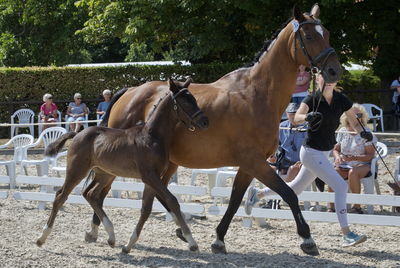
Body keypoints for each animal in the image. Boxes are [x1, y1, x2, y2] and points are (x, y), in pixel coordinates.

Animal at [34, 78, 209, 253]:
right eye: (185, 102)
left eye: (194, 99)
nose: (205, 121)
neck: (152, 137)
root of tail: (78, 134)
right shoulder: (150, 176)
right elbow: (172, 200)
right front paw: (192, 241)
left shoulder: (152, 179)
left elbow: (146, 209)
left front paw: (128, 245)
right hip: (77, 170)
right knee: (61, 196)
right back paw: (42, 237)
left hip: (104, 173)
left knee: (90, 194)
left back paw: (111, 236)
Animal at [94, 4, 344, 255]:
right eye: (309, 36)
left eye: (327, 33)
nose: (334, 71)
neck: (257, 95)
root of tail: (129, 91)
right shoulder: (254, 161)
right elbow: (289, 193)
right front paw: (307, 239)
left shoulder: (248, 165)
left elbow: (235, 201)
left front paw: (219, 239)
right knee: (102, 190)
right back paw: (100, 231)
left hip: (166, 162)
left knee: (154, 193)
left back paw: (176, 228)